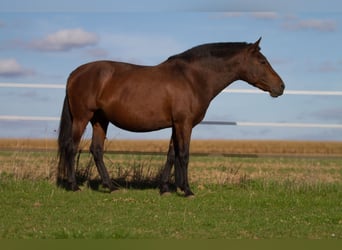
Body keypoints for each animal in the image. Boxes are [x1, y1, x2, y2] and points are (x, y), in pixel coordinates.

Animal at [56, 38, 286, 196]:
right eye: (262, 61)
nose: (281, 87)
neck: (193, 78)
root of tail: (75, 73)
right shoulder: (184, 124)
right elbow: (184, 155)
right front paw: (187, 190)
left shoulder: (176, 124)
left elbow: (171, 155)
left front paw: (166, 188)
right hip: (82, 117)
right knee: (71, 147)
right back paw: (74, 186)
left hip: (100, 120)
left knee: (96, 150)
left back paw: (111, 186)